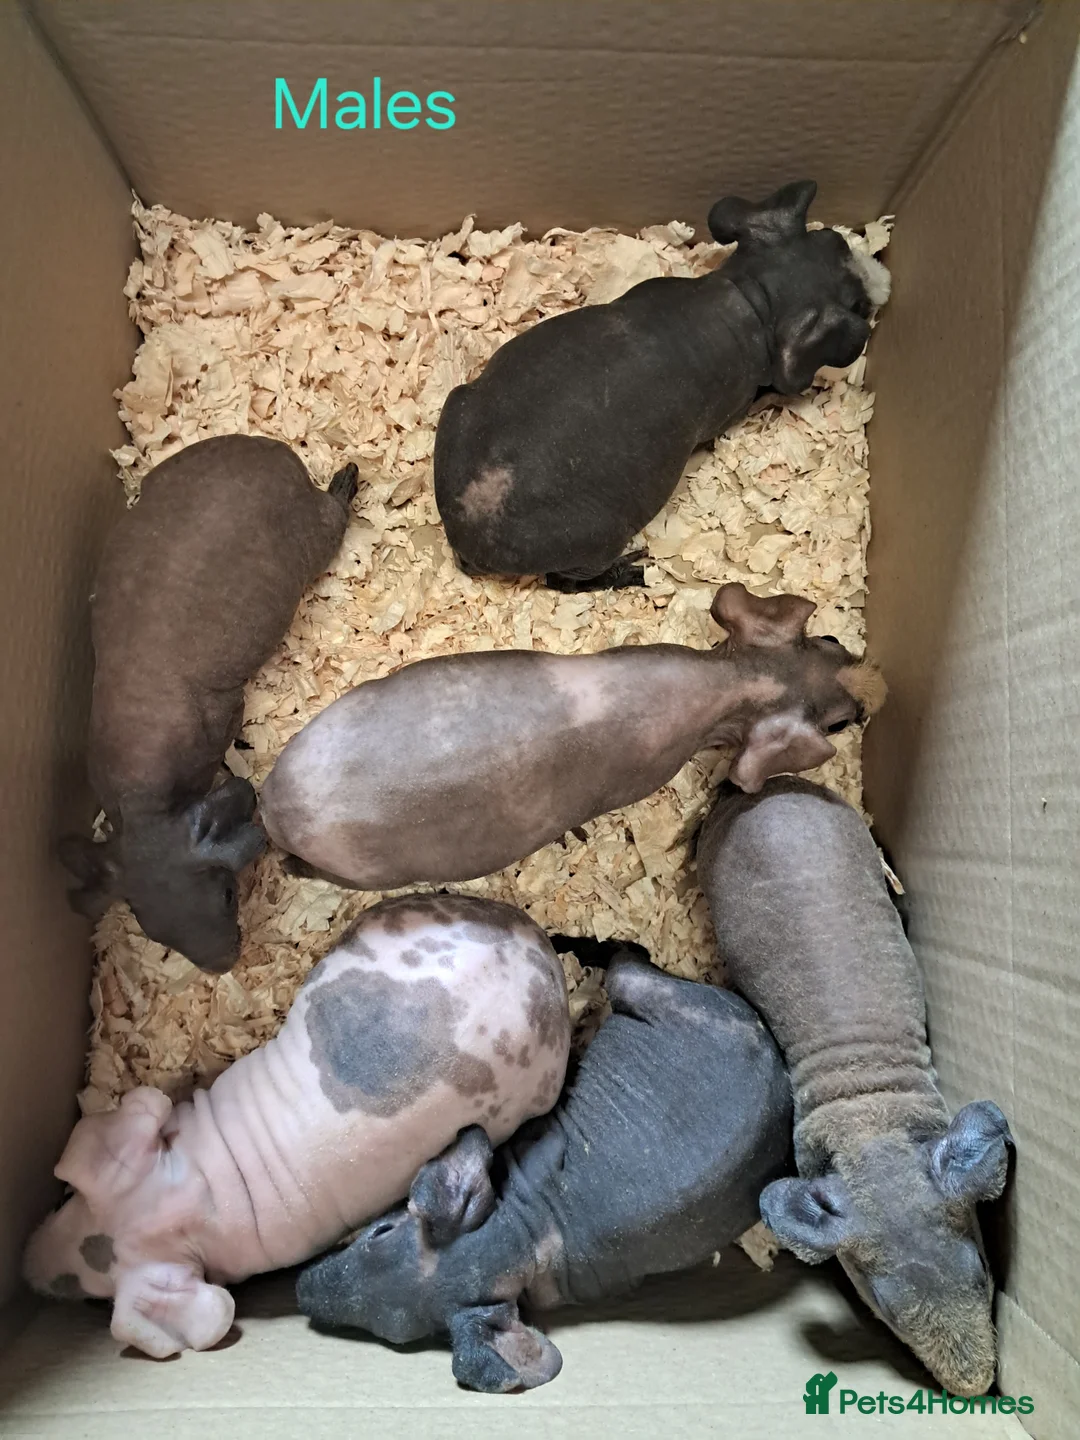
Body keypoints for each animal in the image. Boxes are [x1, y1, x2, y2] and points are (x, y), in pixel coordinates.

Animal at [58, 434, 359, 971]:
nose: (222, 965)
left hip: (313, 533)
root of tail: (273, 450)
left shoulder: (223, 715)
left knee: (333, 513)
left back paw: (346, 479)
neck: (143, 801)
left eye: (228, 895)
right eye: (149, 929)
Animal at [296, 947, 791, 1392]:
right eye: (391, 1338)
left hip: (649, 990)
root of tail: (777, 1063)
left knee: (626, 964)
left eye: (381, 1231)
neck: (523, 1237)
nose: (301, 1289)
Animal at [433, 179, 890, 591]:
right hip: (598, 539)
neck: (750, 296)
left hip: (458, 404)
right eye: (857, 304)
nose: (869, 272)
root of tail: (465, 538)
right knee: (562, 581)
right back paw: (633, 570)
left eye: (832, 240)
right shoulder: (732, 405)